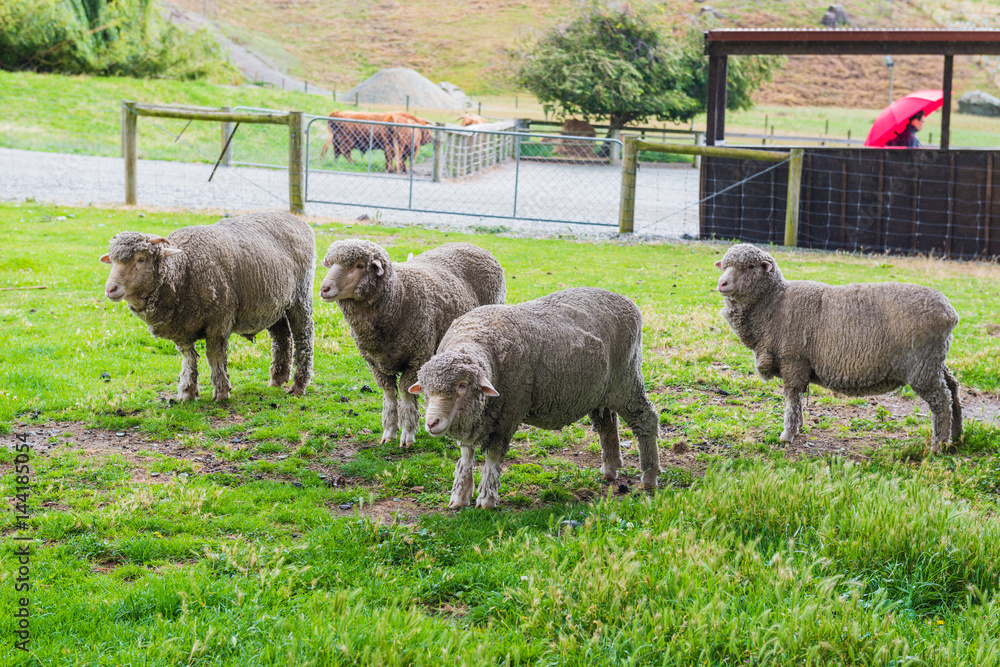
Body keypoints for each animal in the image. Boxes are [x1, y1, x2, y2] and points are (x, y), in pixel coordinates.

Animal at [101, 213, 312, 402]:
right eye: (112, 261)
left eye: (141, 259)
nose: (111, 289)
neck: (183, 269)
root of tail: (296, 219)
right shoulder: (182, 327)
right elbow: (188, 357)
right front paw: (187, 392)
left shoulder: (219, 320)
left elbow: (214, 356)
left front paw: (221, 392)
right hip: (273, 303)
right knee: (282, 336)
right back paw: (277, 379)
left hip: (301, 295)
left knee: (303, 338)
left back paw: (299, 386)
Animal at [320, 240, 504, 448]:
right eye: (331, 263)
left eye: (359, 265)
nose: (324, 289)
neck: (399, 295)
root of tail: (472, 245)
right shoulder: (376, 363)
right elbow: (389, 396)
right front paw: (389, 431)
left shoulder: (417, 357)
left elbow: (407, 395)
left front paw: (407, 434)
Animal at [410, 288, 660, 512]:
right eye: (425, 388)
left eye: (462, 386)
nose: (431, 423)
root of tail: (626, 301)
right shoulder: (475, 417)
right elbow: (466, 455)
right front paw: (460, 496)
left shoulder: (508, 414)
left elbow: (492, 456)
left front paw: (487, 498)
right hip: (600, 391)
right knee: (607, 425)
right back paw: (610, 469)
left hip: (626, 380)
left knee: (646, 420)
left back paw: (649, 477)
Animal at [716, 241, 956, 454]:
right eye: (724, 265)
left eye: (750, 266)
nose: (722, 283)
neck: (775, 302)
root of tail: (950, 312)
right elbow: (799, 399)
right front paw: (799, 426)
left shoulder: (793, 360)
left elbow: (792, 398)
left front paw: (787, 434)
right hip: (934, 360)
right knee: (953, 388)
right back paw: (957, 436)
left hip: (922, 366)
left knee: (942, 400)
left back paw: (939, 445)